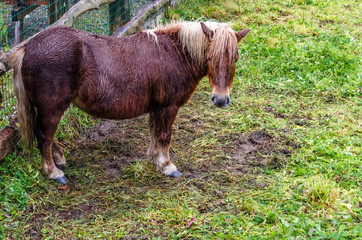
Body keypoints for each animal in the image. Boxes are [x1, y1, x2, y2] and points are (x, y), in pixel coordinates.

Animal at [10, 21, 249, 185]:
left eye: (236, 58)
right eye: (209, 58)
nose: (220, 100)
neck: (174, 53)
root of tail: (28, 47)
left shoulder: (157, 107)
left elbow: (154, 132)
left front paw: (154, 159)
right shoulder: (168, 107)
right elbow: (165, 135)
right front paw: (167, 166)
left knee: (46, 135)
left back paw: (59, 159)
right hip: (52, 107)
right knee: (44, 136)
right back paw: (54, 172)